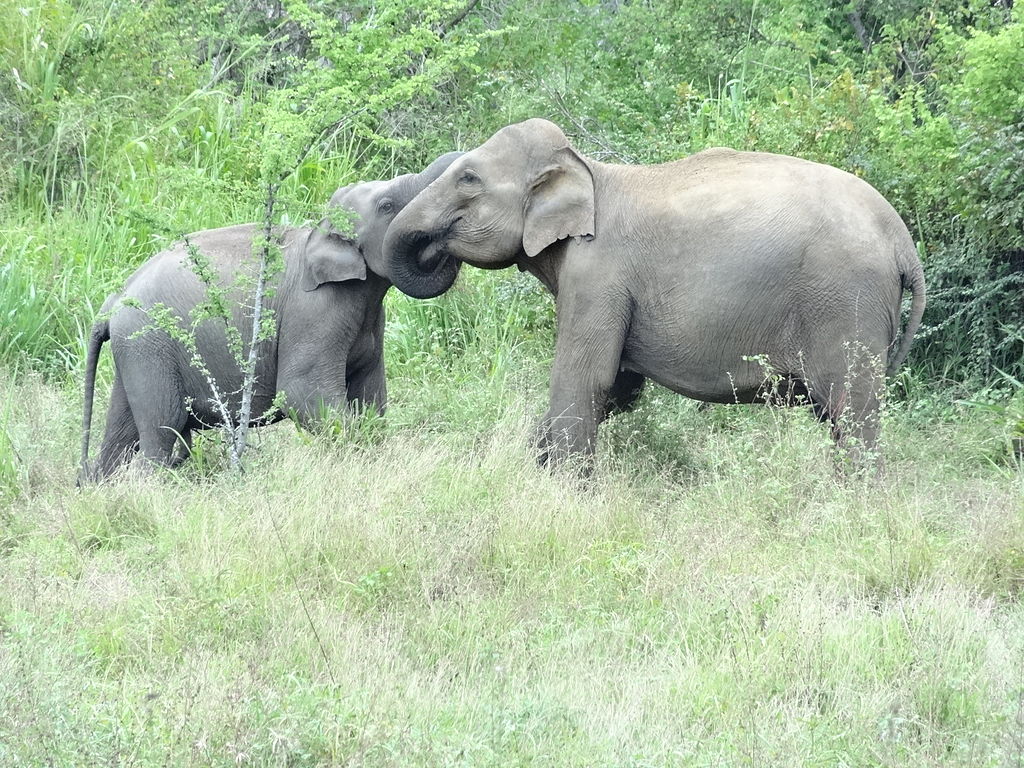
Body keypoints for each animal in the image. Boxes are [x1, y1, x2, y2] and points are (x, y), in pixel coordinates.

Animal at [77, 150, 462, 481]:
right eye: (387, 206)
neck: (319, 230)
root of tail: (111, 304)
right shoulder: (315, 312)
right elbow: (301, 393)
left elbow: (371, 398)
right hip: (148, 348)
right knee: (161, 428)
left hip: (134, 354)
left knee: (121, 433)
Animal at [385, 118, 929, 468]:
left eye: (468, 179)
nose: (434, 251)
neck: (591, 173)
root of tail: (903, 242)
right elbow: (619, 389)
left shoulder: (598, 274)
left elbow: (586, 380)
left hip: (846, 301)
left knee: (853, 411)